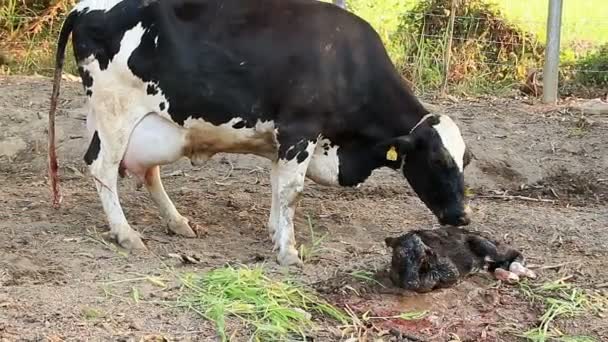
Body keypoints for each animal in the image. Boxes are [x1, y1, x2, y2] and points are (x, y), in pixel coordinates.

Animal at [48, 0, 476, 266]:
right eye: (437, 159)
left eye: (466, 160)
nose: (462, 216)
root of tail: (83, 7)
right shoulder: (300, 130)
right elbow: (291, 192)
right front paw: (287, 251)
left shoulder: (285, 141)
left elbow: (278, 188)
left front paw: (275, 233)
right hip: (116, 109)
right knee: (102, 168)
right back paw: (126, 234)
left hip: (144, 121)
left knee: (145, 170)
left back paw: (178, 222)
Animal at [384, 227, 536, 292]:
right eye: (398, 255)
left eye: (423, 258)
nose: (412, 283)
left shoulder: (451, 270)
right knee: (498, 267)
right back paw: (510, 276)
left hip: (487, 246)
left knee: (515, 253)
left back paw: (525, 272)